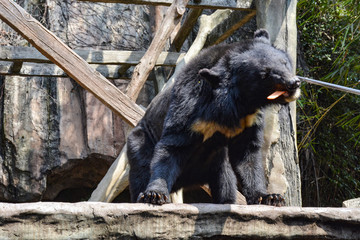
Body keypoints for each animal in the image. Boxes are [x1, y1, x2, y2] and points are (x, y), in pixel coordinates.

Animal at [126, 29, 300, 206]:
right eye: (265, 74)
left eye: (284, 63)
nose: (293, 83)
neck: (239, 104)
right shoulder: (190, 107)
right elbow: (171, 147)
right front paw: (155, 194)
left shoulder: (249, 120)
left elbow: (248, 155)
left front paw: (269, 197)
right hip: (140, 141)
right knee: (142, 170)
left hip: (216, 160)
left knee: (225, 180)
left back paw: (226, 201)